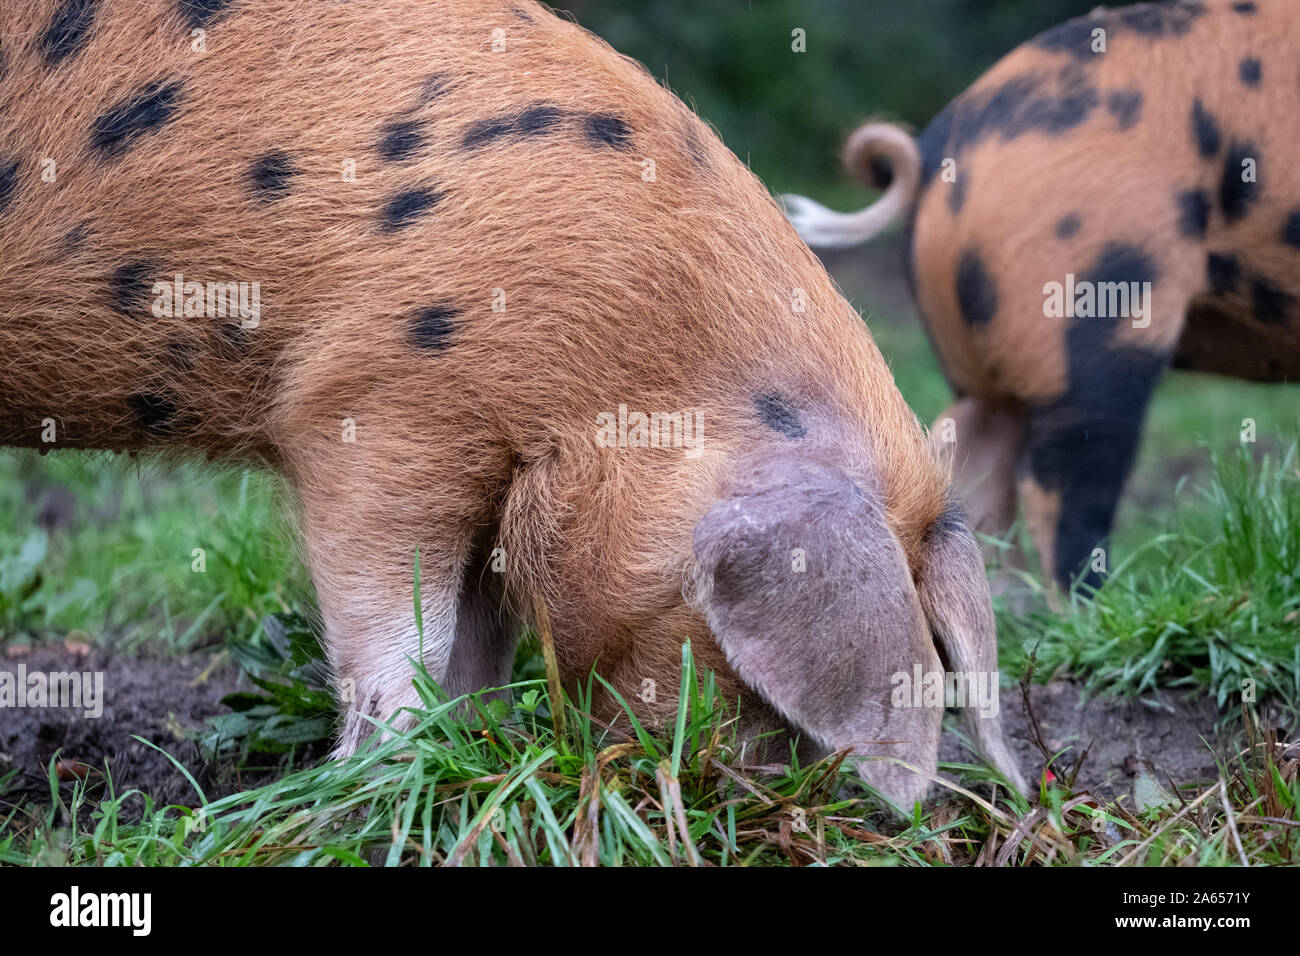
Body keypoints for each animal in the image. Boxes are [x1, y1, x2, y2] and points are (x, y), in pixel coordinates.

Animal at [0, 1, 1024, 806]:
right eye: (735, 659)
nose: (743, 791)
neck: (629, 365)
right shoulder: (373, 407)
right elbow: (396, 629)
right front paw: (381, 774)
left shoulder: (493, 471)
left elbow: (475, 638)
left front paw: (475, 742)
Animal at [780, 1, 1300, 590]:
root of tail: (941, 146)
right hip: (1094, 305)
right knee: (1061, 484)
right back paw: (1098, 602)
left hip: (980, 358)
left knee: (971, 458)